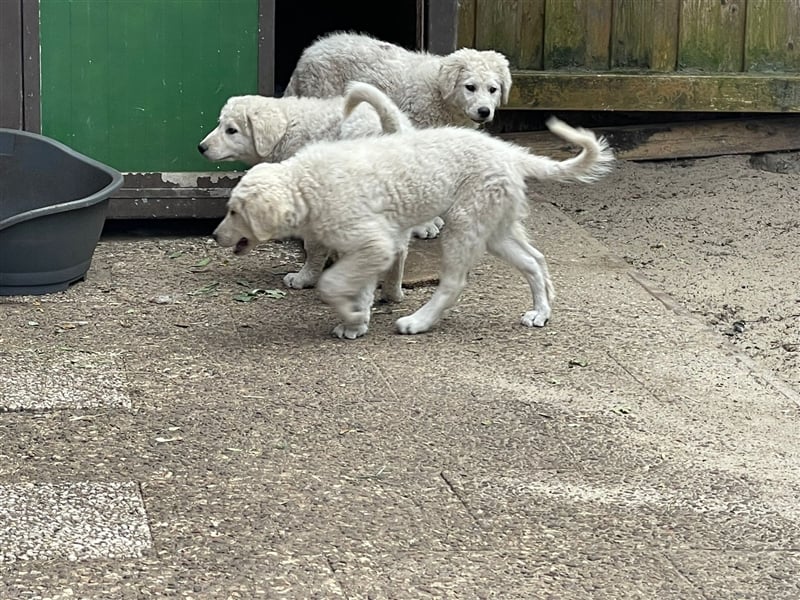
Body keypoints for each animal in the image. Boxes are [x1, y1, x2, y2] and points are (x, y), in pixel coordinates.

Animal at [212, 117, 612, 338]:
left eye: (233, 211)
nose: (215, 236)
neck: (305, 184)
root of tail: (510, 153)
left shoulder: (375, 243)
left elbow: (330, 284)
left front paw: (352, 316)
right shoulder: (366, 248)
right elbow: (357, 287)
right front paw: (356, 323)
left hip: (464, 221)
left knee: (454, 283)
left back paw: (419, 322)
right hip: (494, 226)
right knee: (534, 261)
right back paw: (541, 313)